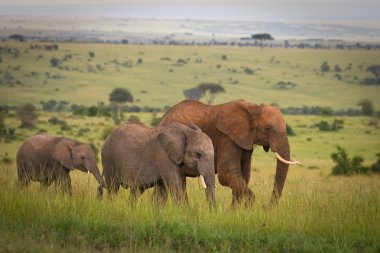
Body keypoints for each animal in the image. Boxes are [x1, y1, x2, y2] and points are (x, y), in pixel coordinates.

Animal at [158, 99, 300, 206]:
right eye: (267, 128)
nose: (266, 207)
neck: (253, 109)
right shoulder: (227, 138)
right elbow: (227, 173)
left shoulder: (245, 142)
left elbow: (244, 175)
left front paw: (234, 212)